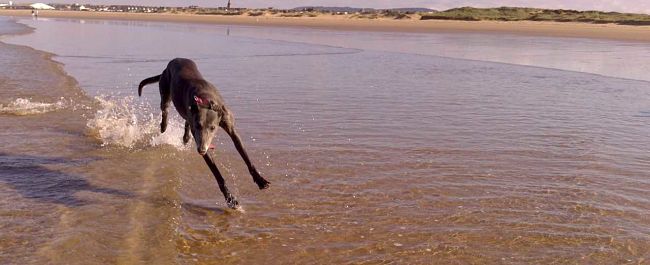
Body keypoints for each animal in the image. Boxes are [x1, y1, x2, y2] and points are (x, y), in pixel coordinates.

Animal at [137, 57, 268, 208]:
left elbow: (244, 153)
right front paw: (230, 199)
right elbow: (217, 173)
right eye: (199, 126)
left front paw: (260, 180)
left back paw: (186, 137)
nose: (201, 150)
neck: (206, 100)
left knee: (185, 120)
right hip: (165, 91)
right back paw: (164, 127)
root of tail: (169, 64)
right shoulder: (199, 135)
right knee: (165, 110)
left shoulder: (230, 128)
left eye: (213, 128)